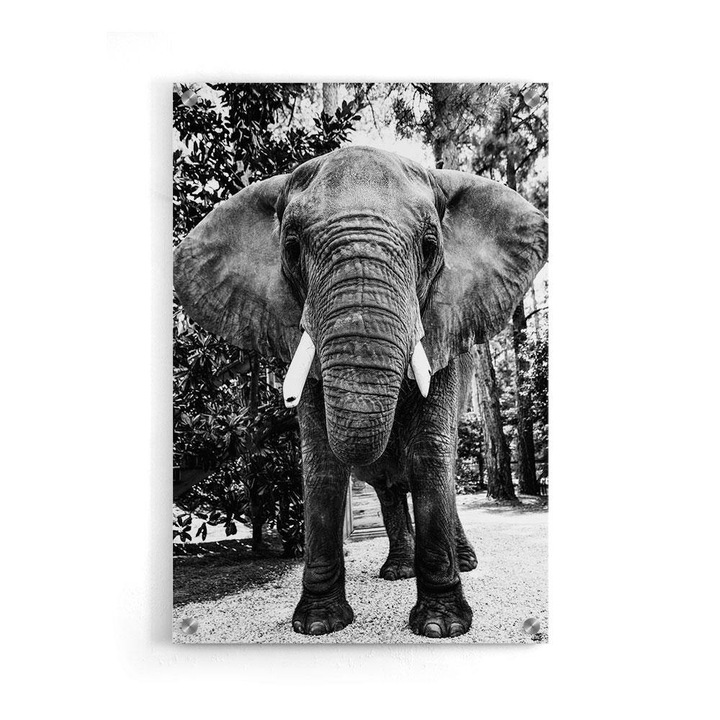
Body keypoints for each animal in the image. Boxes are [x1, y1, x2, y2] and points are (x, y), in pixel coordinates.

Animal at [174, 146, 547, 638]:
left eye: (430, 247)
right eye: (291, 248)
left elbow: (430, 454)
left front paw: (441, 627)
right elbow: (321, 463)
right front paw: (318, 624)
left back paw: (462, 563)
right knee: (389, 488)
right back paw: (398, 571)